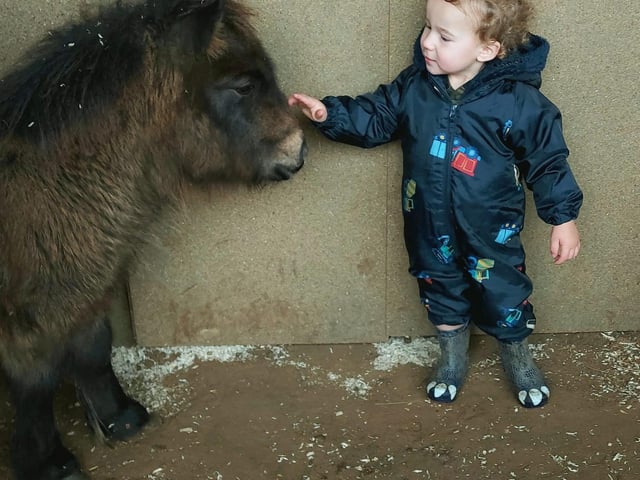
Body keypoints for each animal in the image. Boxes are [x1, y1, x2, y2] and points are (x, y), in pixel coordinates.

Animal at [0, 0, 306, 478]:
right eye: (243, 86)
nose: (297, 151)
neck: (54, 182)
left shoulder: (87, 288)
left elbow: (93, 349)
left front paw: (120, 418)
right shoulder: (30, 317)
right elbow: (35, 386)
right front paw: (46, 462)